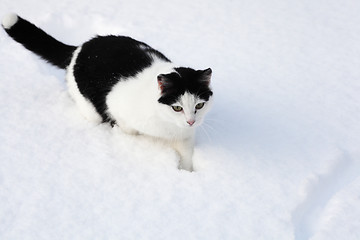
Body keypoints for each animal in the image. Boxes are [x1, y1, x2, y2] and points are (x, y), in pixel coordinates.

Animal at [2, 13, 214, 171]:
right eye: (177, 107)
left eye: (199, 105)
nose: (191, 121)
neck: (167, 125)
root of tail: (79, 48)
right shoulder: (119, 110)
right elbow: (129, 131)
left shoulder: (185, 137)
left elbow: (187, 158)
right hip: (90, 108)